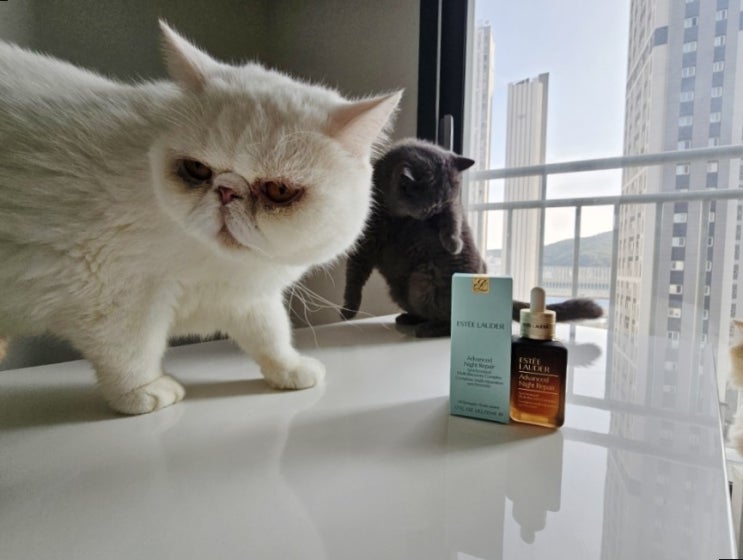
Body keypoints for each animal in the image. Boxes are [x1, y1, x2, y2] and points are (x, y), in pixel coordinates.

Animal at [0, 21, 401, 415]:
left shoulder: (247, 298)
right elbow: (130, 349)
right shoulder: (108, 290)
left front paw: (289, 370)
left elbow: (270, 332)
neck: (209, 260)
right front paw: (143, 393)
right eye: (196, 170)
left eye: (278, 190)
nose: (226, 191)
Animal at [341, 139, 603, 337]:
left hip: (424, 281)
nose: (431, 216)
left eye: (442, 203)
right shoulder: (364, 243)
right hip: (401, 289)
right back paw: (410, 318)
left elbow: (454, 220)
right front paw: (348, 310)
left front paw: (453, 244)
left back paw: (428, 328)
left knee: (451, 322)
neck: (395, 216)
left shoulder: (454, 208)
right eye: (430, 206)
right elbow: (354, 277)